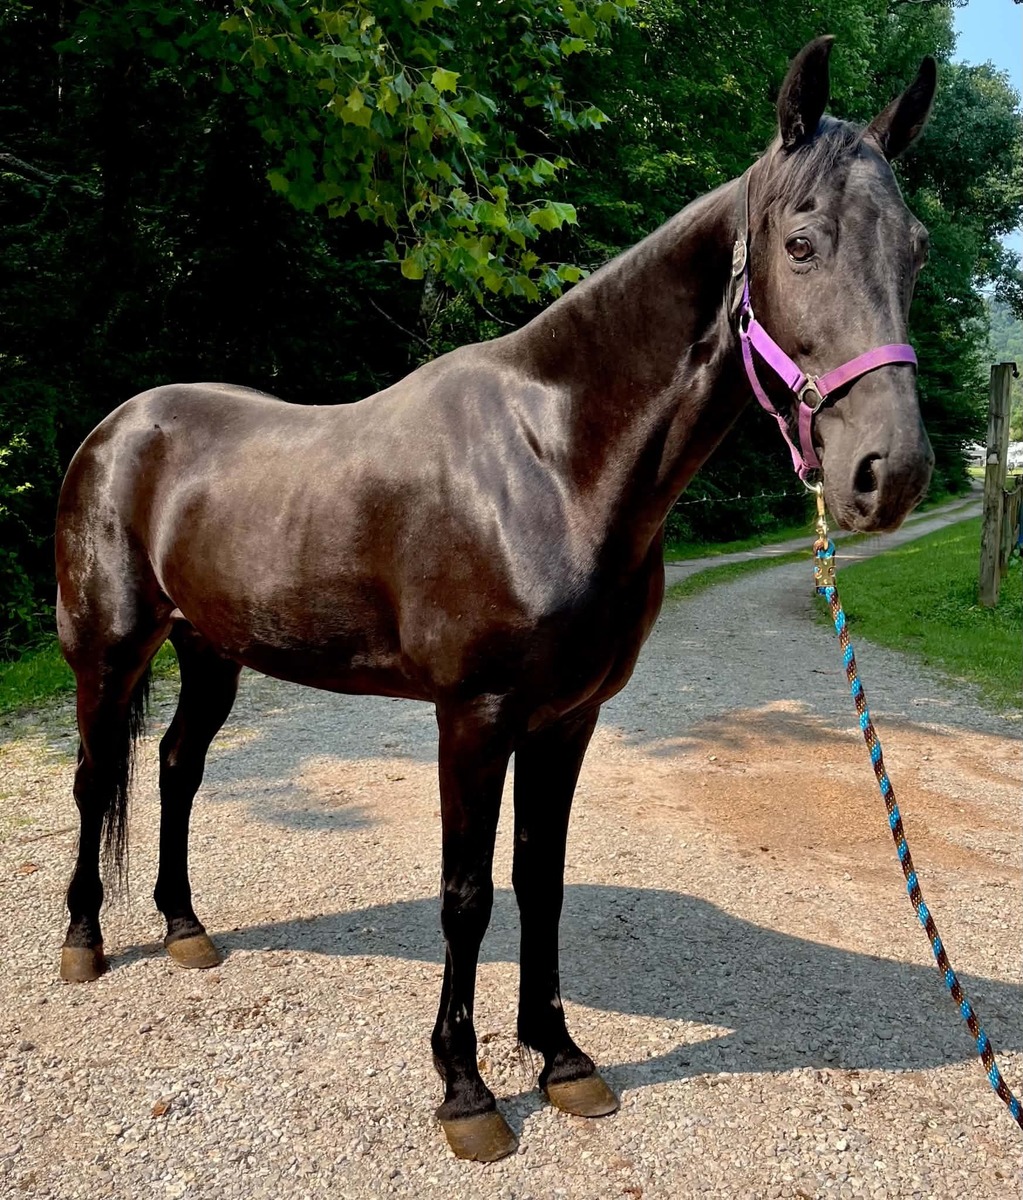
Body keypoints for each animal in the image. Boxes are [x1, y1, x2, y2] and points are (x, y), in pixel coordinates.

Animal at [54, 37, 936, 1161]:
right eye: (803, 241)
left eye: (915, 251)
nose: (889, 473)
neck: (550, 460)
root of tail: (116, 429)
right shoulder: (472, 718)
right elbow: (467, 895)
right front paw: (465, 1091)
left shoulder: (567, 719)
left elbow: (540, 883)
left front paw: (560, 1060)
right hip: (109, 648)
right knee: (94, 780)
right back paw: (84, 941)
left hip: (210, 650)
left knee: (175, 767)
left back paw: (183, 928)